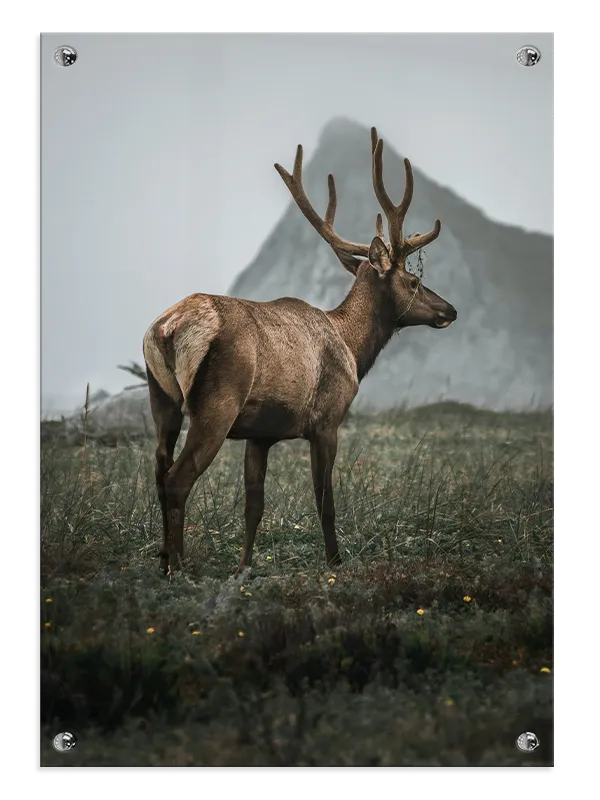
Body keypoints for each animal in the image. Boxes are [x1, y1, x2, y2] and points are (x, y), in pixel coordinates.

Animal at [143, 126, 457, 577]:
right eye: (414, 282)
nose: (450, 309)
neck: (353, 350)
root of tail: (167, 328)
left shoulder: (260, 434)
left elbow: (254, 505)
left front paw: (244, 567)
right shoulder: (327, 420)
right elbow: (325, 500)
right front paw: (336, 562)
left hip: (161, 398)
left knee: (158, 469)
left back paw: (164, 559)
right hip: (216, 403)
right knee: (177, 479)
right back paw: (178, 569)